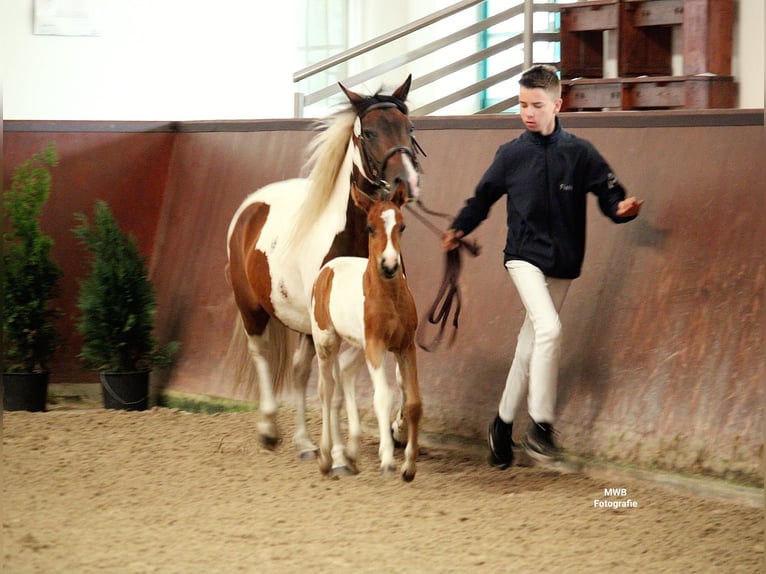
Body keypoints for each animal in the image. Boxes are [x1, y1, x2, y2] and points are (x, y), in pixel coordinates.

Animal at [310, 184, 424, 482]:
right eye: (370, 228)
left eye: (402, 226)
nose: (389, 265)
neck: (390, 296)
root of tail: (327, 268)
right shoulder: (376, 345)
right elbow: (382, 397)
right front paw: (388, 460)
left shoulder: (405, 346)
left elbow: (414, 403)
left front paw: (409, 467)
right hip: (327, 341)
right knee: (327, 389)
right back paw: (327, 457)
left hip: (357, 347)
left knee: (346, 373)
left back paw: (350, 453)